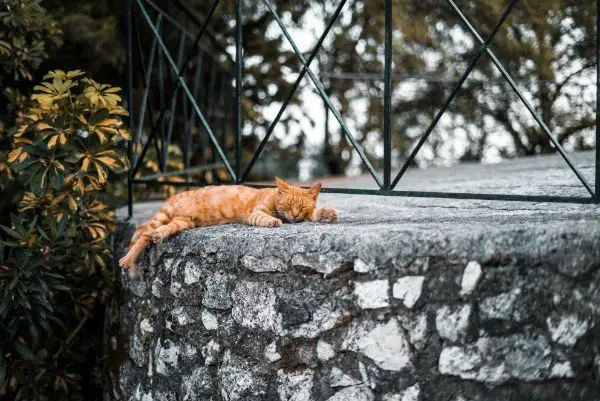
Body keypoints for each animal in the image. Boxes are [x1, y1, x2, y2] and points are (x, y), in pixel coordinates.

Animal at [118, 177, 338, 274]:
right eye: (288, 205)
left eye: (301, 207)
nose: (293, 215)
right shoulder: (256, 212)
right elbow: (265, 218)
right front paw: (274, 221)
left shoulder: (307, 214)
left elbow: (315, 214)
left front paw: (328, 213)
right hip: (163, 217)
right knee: (142, 237)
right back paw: (127, 260)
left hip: (182, 222)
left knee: (155, 233)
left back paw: (159, 235)